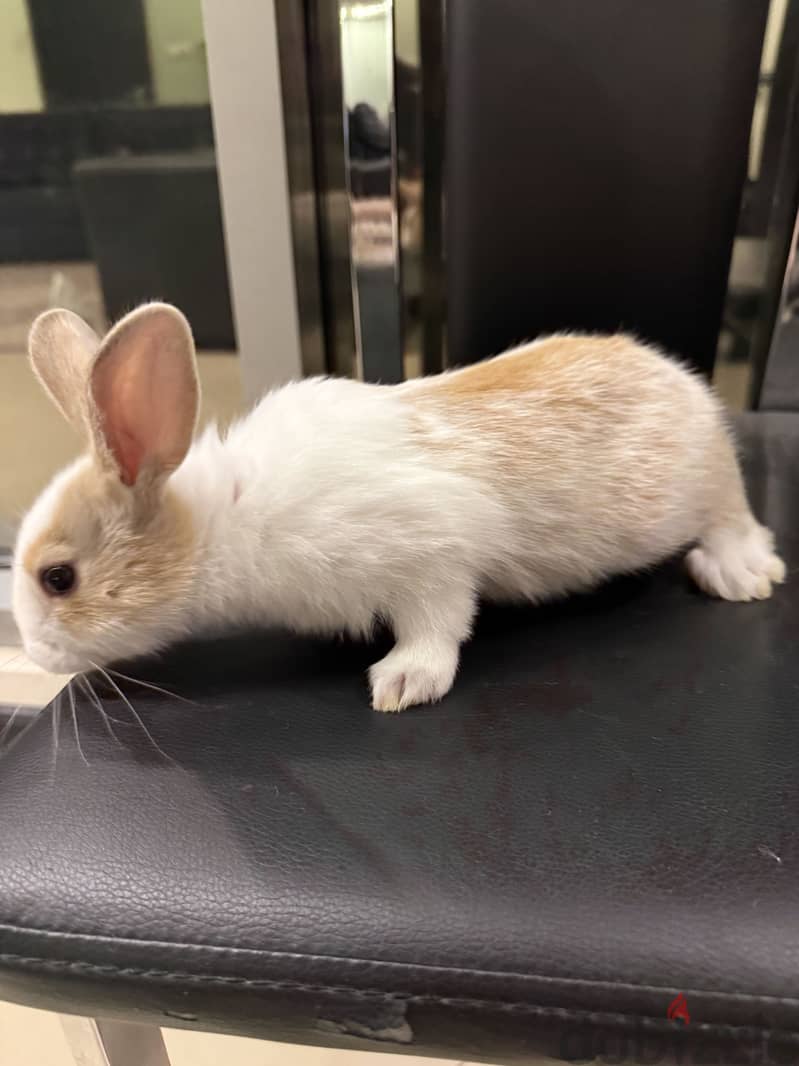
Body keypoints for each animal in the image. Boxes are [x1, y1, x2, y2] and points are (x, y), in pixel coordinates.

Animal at [13, 302, 785, 711]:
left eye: (59, 578)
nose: (36, 654)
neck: (221, 522)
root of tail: (680, 380)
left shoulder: (429, 556)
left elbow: (438, 623)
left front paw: (403, 683)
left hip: (706, 486)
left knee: (732, 515)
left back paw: (739, 573)